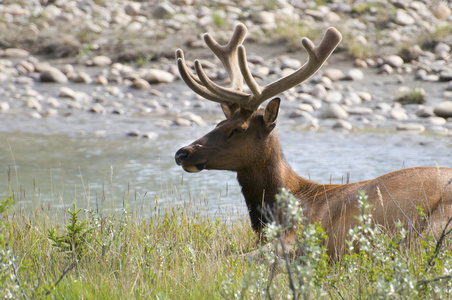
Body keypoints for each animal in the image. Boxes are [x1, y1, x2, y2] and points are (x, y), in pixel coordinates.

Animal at [174, 23, 452, 258]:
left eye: (238, 129)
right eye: (218, 124)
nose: (182, 153)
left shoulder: (301, 236)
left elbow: (232, 257)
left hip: (431, 227)